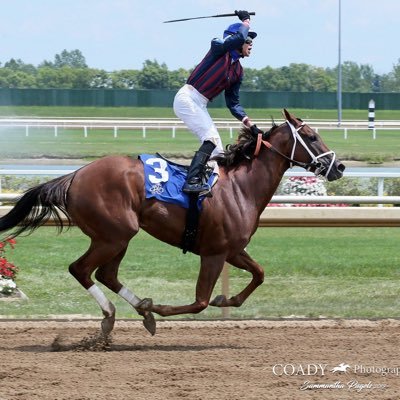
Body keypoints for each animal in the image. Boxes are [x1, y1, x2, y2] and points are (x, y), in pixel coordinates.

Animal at [0, 108, 344, 334]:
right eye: (312, 136)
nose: (339, 166)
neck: (241, 186)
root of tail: (73, 176)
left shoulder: (232, 249)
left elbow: (259, 274)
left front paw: (227, 298)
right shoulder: (214, 252)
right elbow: (200, 301)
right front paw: (162, 308)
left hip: (117, 237)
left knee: (106, 274)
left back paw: (139, 309)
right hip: (114, 234)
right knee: (81, 269)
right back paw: (115, 313)